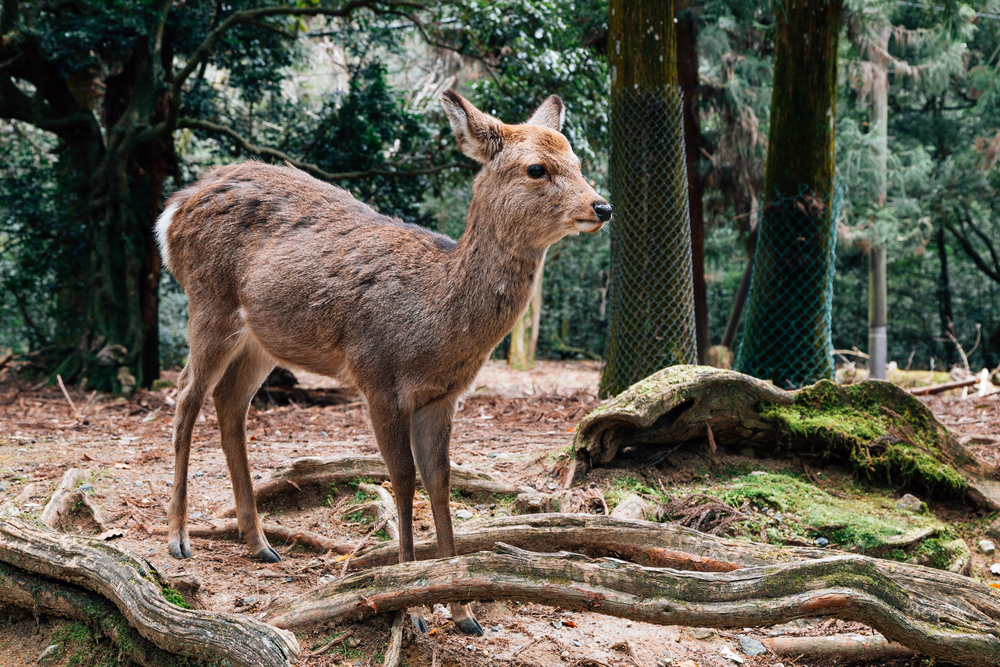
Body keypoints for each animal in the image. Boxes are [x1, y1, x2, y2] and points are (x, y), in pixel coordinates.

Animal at [156, 90, 608, 636]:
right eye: (537, 168)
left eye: (578, 162)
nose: (602, 206)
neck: (436, 319)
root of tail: (173, 210)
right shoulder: (378, 378)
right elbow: (403, 478)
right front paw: (409, 606)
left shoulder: (443, 397)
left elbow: (440, 480)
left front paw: (463, 610)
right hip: (209, 301)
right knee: (185, 395)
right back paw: (178, 538)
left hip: (262, 337)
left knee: (229, 402)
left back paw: (260, 543)